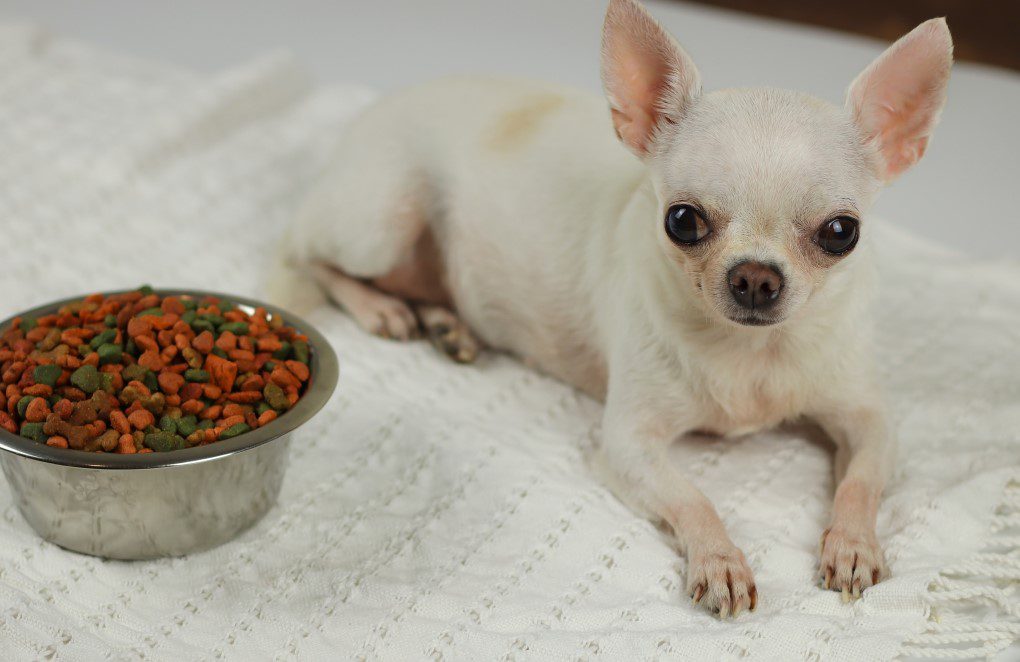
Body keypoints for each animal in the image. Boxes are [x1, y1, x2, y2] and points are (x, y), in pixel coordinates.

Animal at [275, 0, 950, 616]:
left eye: (841, 233)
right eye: (682, 221)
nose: (756, 277)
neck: (752, 353)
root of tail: (375, 109)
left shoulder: (870, 421)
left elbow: (861, 482)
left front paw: (853, 545)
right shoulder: (629, 445)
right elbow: (693, 498)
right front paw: (720, 560)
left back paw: (445, 323)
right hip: (379, 223)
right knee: (308, 254)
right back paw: (379, 308)